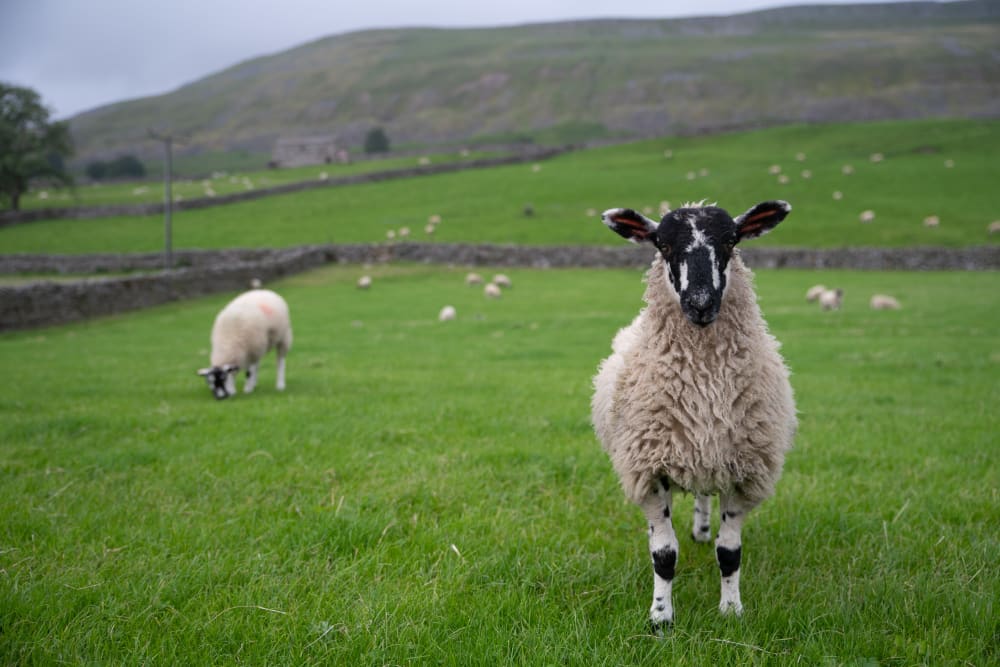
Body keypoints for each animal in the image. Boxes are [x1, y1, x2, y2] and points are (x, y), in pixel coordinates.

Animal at [592, 198, 796, 632]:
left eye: (732, 241)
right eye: (663, 244)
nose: (701, 304)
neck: (705, 389)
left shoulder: (743, 470)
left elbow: (730, 552)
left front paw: (732, 611)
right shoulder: (649, 469)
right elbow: (664, 554)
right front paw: (660, 619)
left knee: (704, 496)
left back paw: (702, 530)